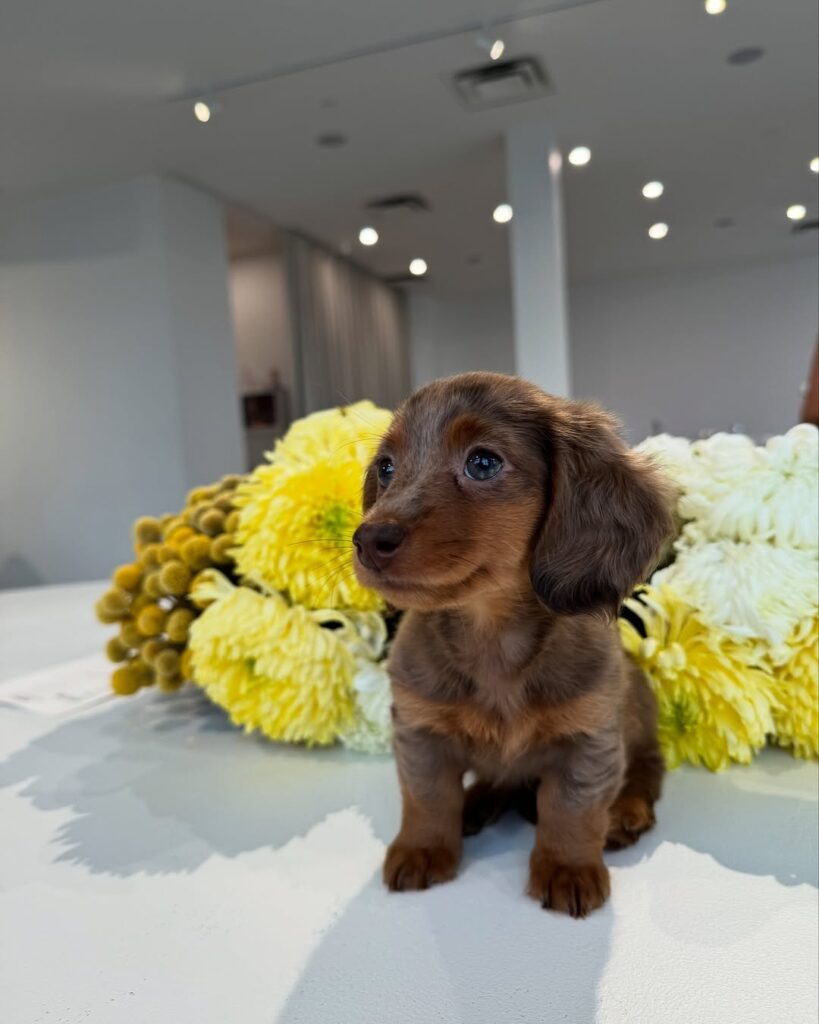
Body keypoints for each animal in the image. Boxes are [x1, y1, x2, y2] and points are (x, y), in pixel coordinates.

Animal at [352, 372, 673, 917]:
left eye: (483, 463)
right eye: (386, 467)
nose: (368, 539)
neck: (492, 638)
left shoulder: (590, 739)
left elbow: (571, 808)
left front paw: (568, 868)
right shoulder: (418, 730)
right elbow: (427, 798)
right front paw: (422, 849)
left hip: (638, 718)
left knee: (647, 769)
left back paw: (626, 811)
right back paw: (477, 803)